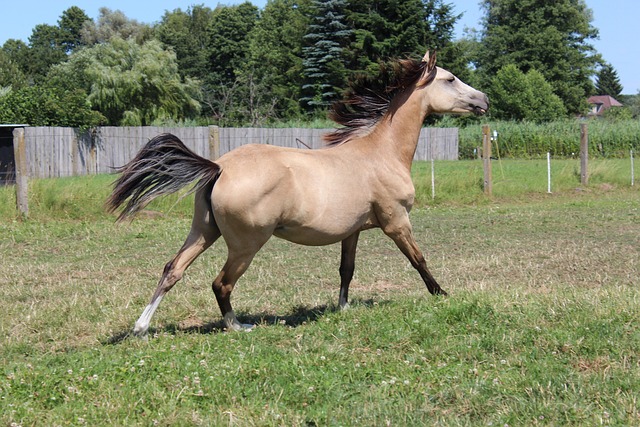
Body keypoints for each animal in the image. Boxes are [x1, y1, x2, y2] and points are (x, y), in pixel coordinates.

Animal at [107, 51, 489, 337]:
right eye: (450, 79)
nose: (483, 100)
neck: (380, 153)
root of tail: (218, 167)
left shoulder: (352, 232)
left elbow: (346, 270)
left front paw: (343, 308)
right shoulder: (397, 221)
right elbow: (418, 259)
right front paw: (442, 294)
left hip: (203, 231)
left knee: (173, 270)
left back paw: (140, 328)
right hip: (245, 244)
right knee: (221, 283)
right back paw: (238, 326)